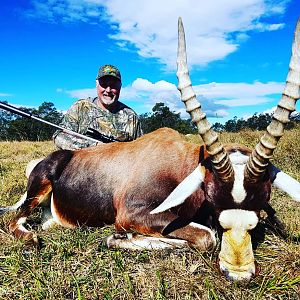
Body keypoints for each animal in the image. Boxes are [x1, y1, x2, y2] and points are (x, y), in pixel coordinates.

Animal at [1, 18, 300, 282]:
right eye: (212, 199)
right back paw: (31, 239)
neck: (179, 163)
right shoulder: (132, 214)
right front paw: (118, 237)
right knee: (14, 220)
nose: (238, 274)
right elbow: (207, 237)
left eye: (261, 204)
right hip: (37, 190)